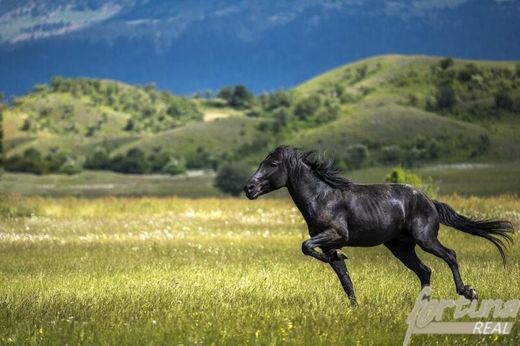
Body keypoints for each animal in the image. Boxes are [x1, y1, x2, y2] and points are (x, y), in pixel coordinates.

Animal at [244, 146, 512, 306]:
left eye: (273, 164)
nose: (249, 188)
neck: (322, 197)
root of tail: (429, 201)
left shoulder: (336, 234)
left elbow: (306, 246)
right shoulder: (328, 243)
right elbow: (342, 276)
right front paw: (354, 305)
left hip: (425, 239)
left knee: (450, 256)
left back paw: (468, 292)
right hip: (401, 247)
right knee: (425, 270)